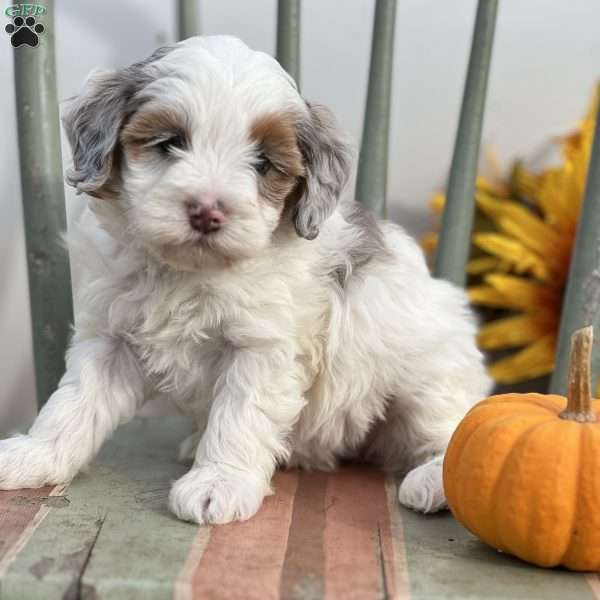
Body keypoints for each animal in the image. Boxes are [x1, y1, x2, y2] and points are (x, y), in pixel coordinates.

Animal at [0, 36, 492, 524]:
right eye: (169, 142)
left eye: (263, 162)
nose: (207, 211)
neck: (187, 270)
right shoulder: (110, 339)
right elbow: (73, 403)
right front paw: (35, 454)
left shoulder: (262, 347)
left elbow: (239, 414)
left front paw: (218, 482)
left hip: (425, 373)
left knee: (449, 426)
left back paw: (434, 479)